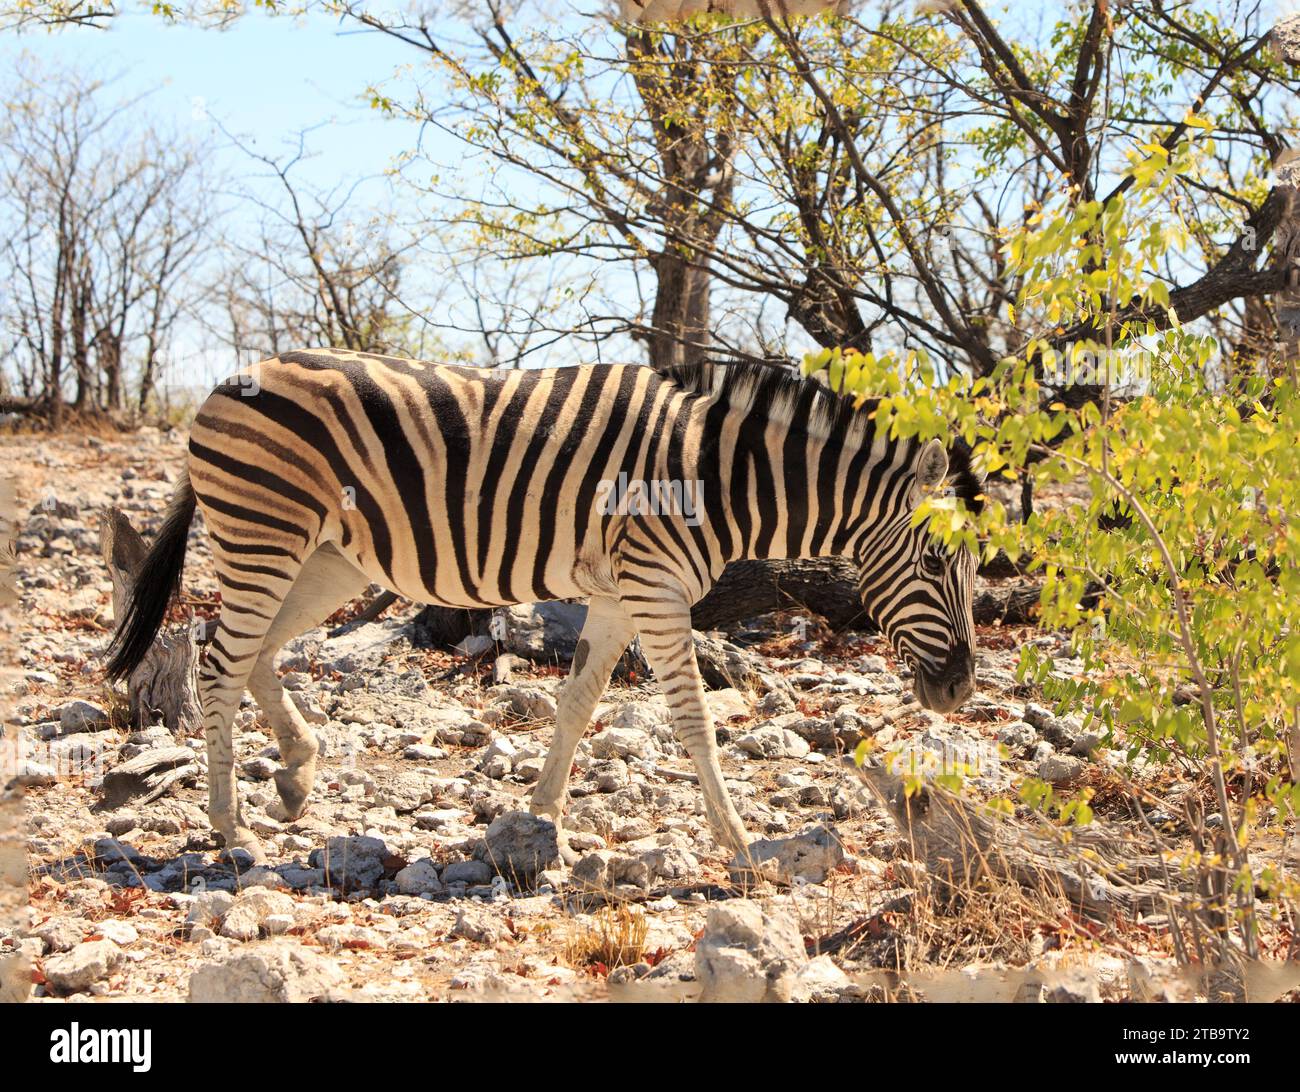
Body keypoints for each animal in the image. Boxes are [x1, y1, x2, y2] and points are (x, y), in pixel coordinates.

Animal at [109, 351, 982, 868]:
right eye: (937, 563)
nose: (961, 691)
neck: (713, 477)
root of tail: (227, 380)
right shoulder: (656, 590)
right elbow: (694, 719)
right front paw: (737, 841)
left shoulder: (620, 596)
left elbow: (576, 703)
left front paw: (539, 817)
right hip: (266, 536)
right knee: (220, 665)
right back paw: (232, 829)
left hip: (324, 560)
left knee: (251, 653)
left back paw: (293, 777)